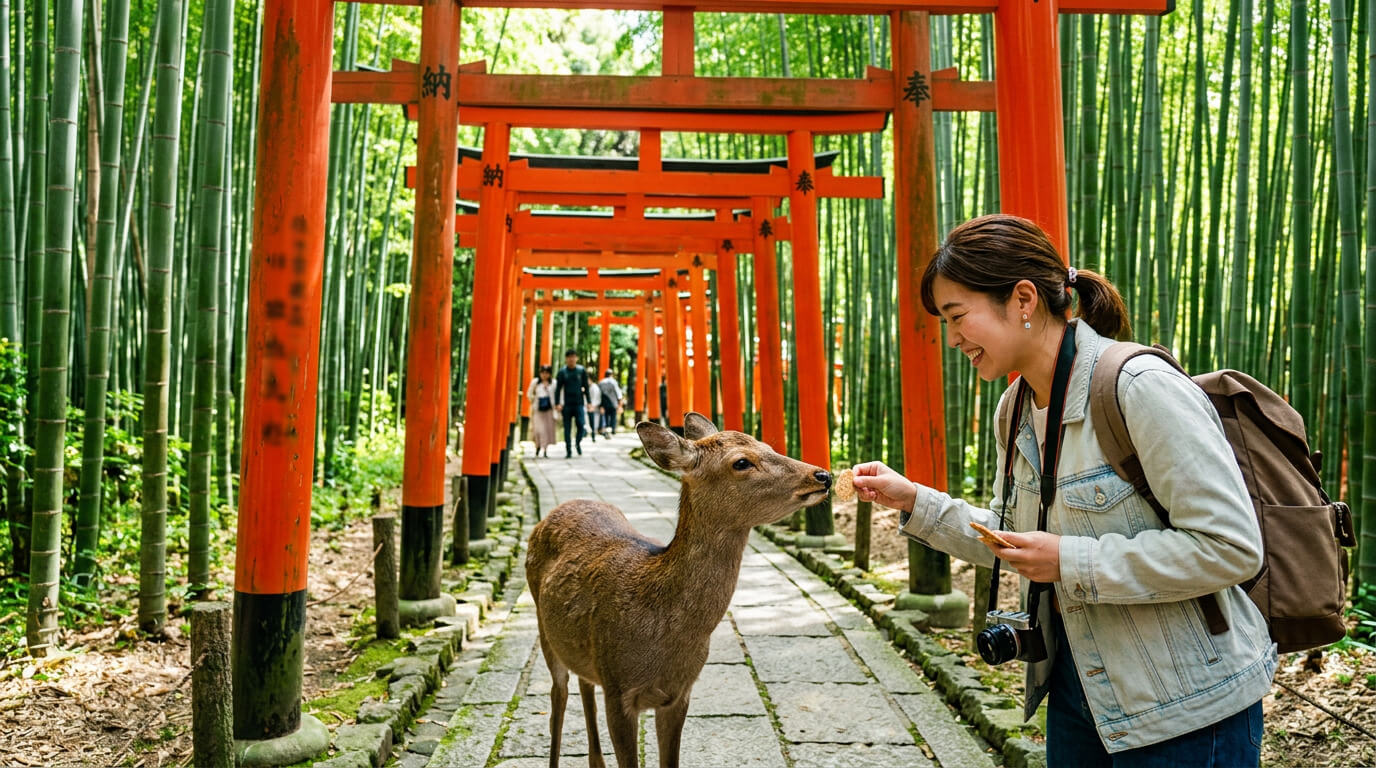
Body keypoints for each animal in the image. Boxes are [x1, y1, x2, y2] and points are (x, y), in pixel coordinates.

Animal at [525, 412, 832, 768]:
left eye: (767, 446)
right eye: (741, 462)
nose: (823, 475)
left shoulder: (680, 693)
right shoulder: (618, 690)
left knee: (584, 683)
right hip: (544, 631)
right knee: (558, 697)